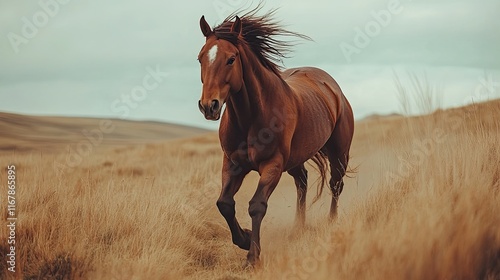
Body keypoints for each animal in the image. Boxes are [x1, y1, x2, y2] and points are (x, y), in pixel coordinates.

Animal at [196, 9, 356, 266]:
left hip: (339, 153)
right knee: (302, 183)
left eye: (231, 59)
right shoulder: (232, 164)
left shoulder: (272, 164)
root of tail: (331, 86)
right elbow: (225, 204)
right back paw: (297, 227)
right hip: (296, 160)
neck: (251, 117)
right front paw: (244, 239)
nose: (209, 106)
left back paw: (331, 222)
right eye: (200, 58)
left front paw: (252, 256)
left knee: (335, 185)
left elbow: (257, 206)